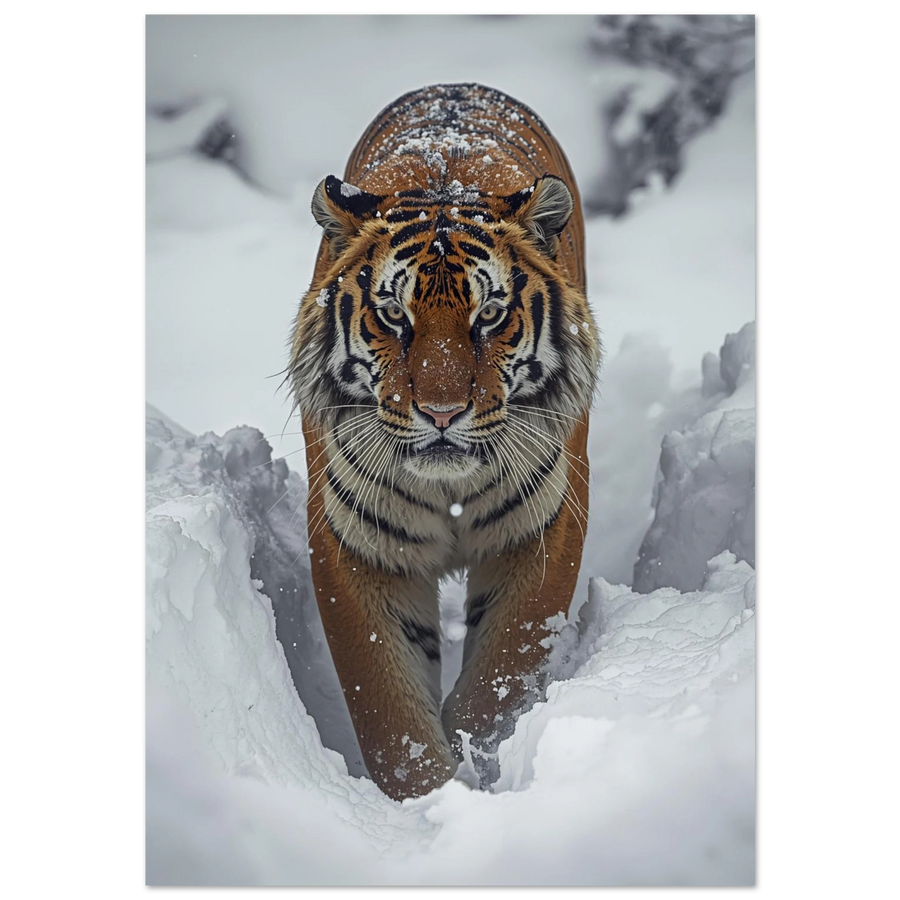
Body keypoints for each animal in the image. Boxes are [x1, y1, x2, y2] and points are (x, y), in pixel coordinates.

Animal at [288, 83, 600, 800]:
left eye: (489, 315)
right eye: (392, 315)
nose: (440, 412)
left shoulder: (542, 528)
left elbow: (500, 673)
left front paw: (473, 757)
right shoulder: (356, 544)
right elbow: (387, 708)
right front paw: (428, 798)